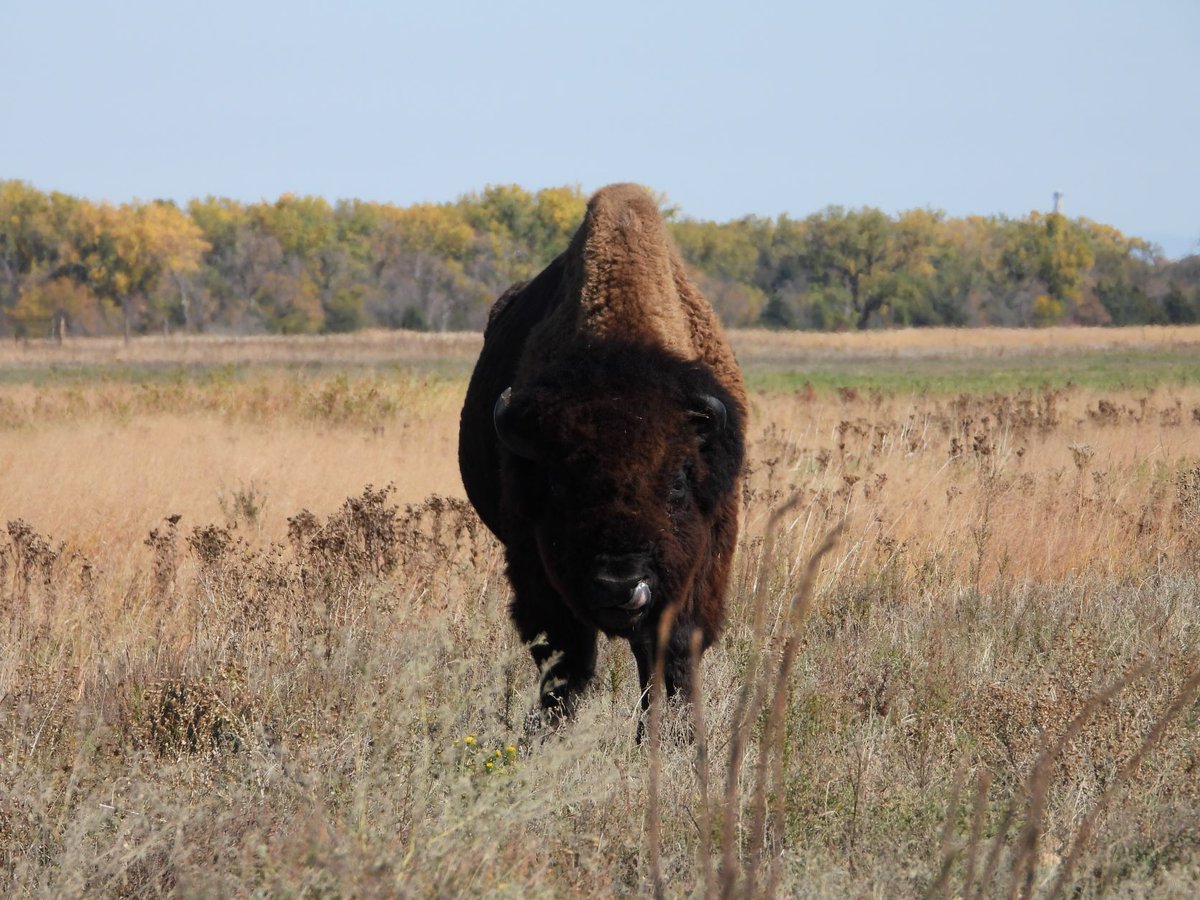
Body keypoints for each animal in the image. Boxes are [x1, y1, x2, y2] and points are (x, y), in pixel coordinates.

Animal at [458, 183, 747, 726]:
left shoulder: (706, 559)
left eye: (678, 481)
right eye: (558, 485)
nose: (619, 585)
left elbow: (675, 652)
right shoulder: (533, 564)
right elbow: (566, 660)